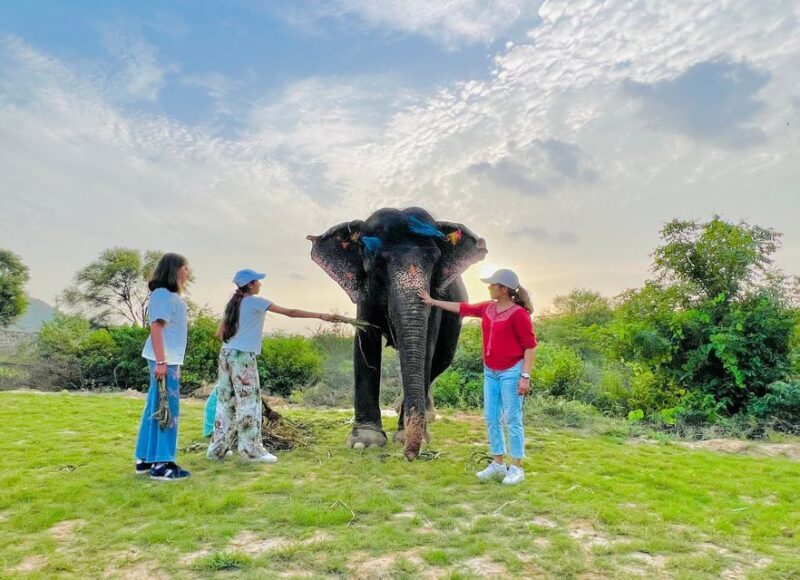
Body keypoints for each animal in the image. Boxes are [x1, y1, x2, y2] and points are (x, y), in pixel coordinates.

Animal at [307, 207, 487, 461]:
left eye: (435, 262)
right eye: (380, 263)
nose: (410, 456)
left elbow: (427, 346)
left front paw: (408, 437)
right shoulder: (364, 294)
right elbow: (366, 342)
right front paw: (365, 443)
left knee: (441, 360)